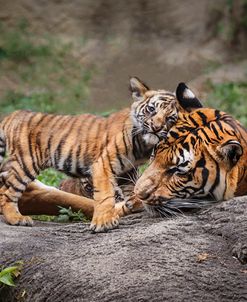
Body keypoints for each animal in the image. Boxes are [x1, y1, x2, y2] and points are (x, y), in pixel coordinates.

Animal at [0, 76, 202, 230]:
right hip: (27, 162)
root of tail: (12, 115)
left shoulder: (127, 171)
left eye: (170, 118)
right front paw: (103, 222)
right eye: (151, 109)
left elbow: (132, 189)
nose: (156, 127)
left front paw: (132, 202)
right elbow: (105, 194)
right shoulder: (104, 164)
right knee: (7, 192)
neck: (145, 145)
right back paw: (17, 218)